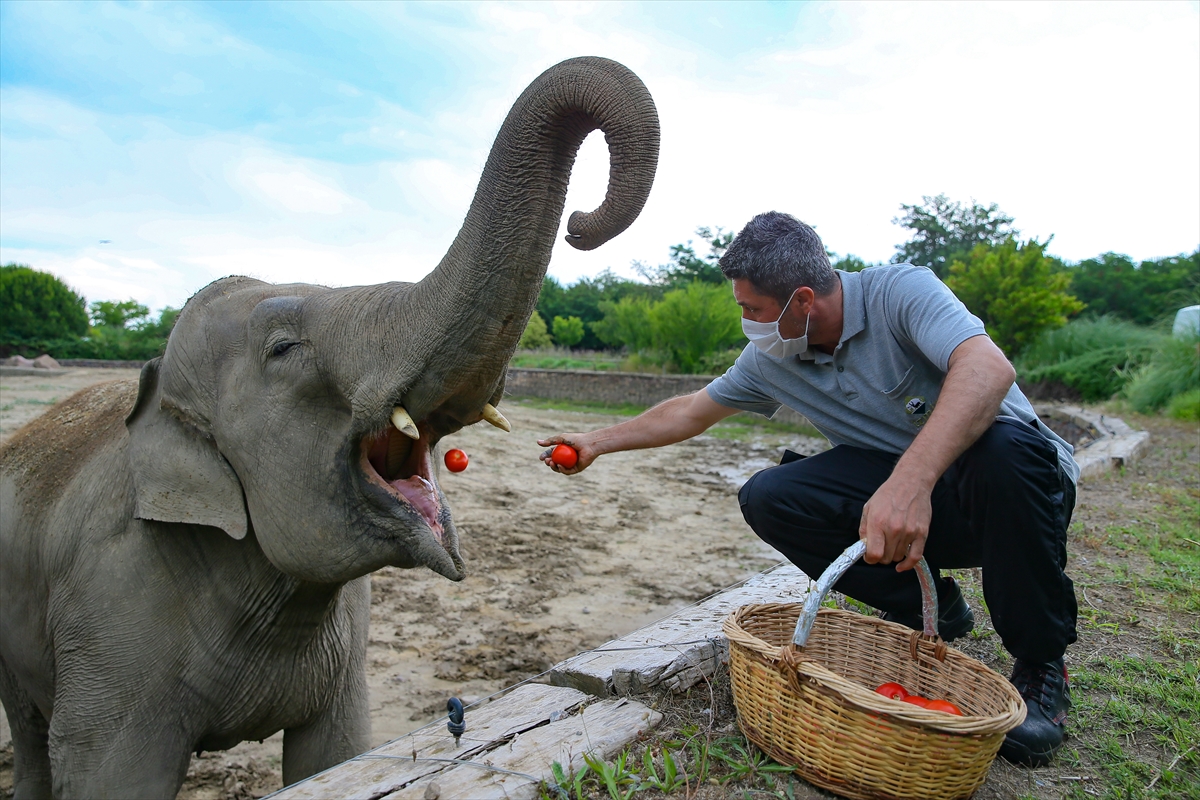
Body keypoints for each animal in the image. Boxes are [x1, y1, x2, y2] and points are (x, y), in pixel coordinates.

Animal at [0, 57, 662, 800]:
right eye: (284, 348)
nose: (582, 224)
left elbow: (335, 757)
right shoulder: (111, 622)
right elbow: (109, 776)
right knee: (29, 730)